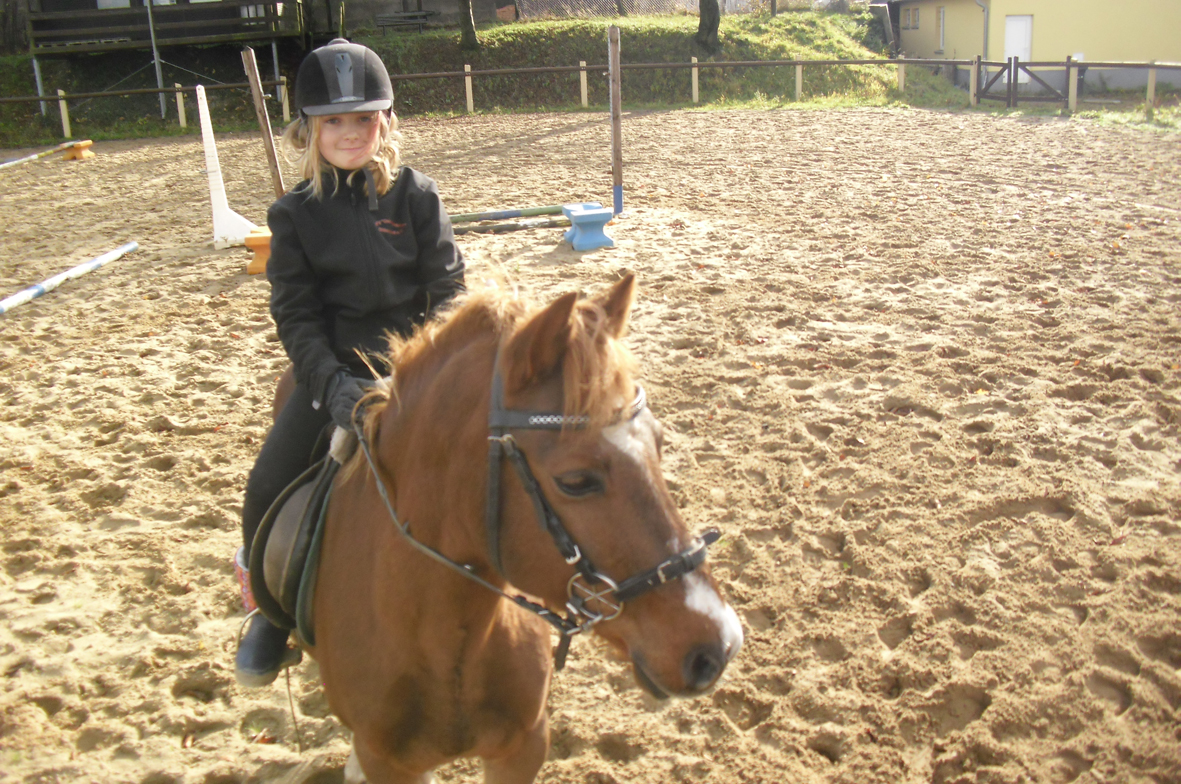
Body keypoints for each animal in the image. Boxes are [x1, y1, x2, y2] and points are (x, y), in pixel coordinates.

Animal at [272, 274, 743, 783]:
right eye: (575, 481)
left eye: (658, 443)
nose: (719, 646)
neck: (447, 644)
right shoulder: (390, 763)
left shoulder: (523, 747)